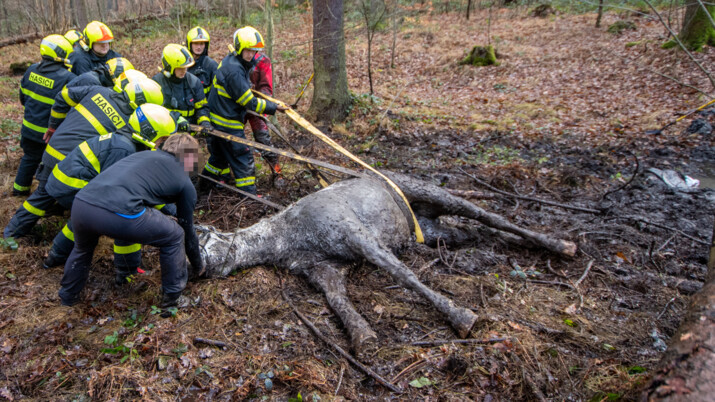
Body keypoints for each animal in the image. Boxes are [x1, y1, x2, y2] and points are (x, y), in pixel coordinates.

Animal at [197, 171, 576, 354]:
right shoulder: (323, 270)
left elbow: (403, 274)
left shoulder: (360, 237)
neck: (284, 234)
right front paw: (362, 334)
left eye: (200, 235)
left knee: (491, 217)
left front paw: (461, 316)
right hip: (434, 231)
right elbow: (338, 300)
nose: (196, 267)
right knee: (474, 232)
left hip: (440, 196)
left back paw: (563, 245)